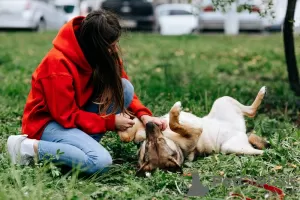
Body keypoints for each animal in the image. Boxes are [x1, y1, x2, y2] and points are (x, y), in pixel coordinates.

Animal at [118, 86, 270, 173]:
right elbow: (174, 124)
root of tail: (241, 131)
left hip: (222, 101)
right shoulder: (195, 133)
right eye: (151, 145)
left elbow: (128, 135)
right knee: (253, 118)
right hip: (231, 147)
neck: (174, 142)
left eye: (160, 141)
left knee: (250, 111)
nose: (150, 125)